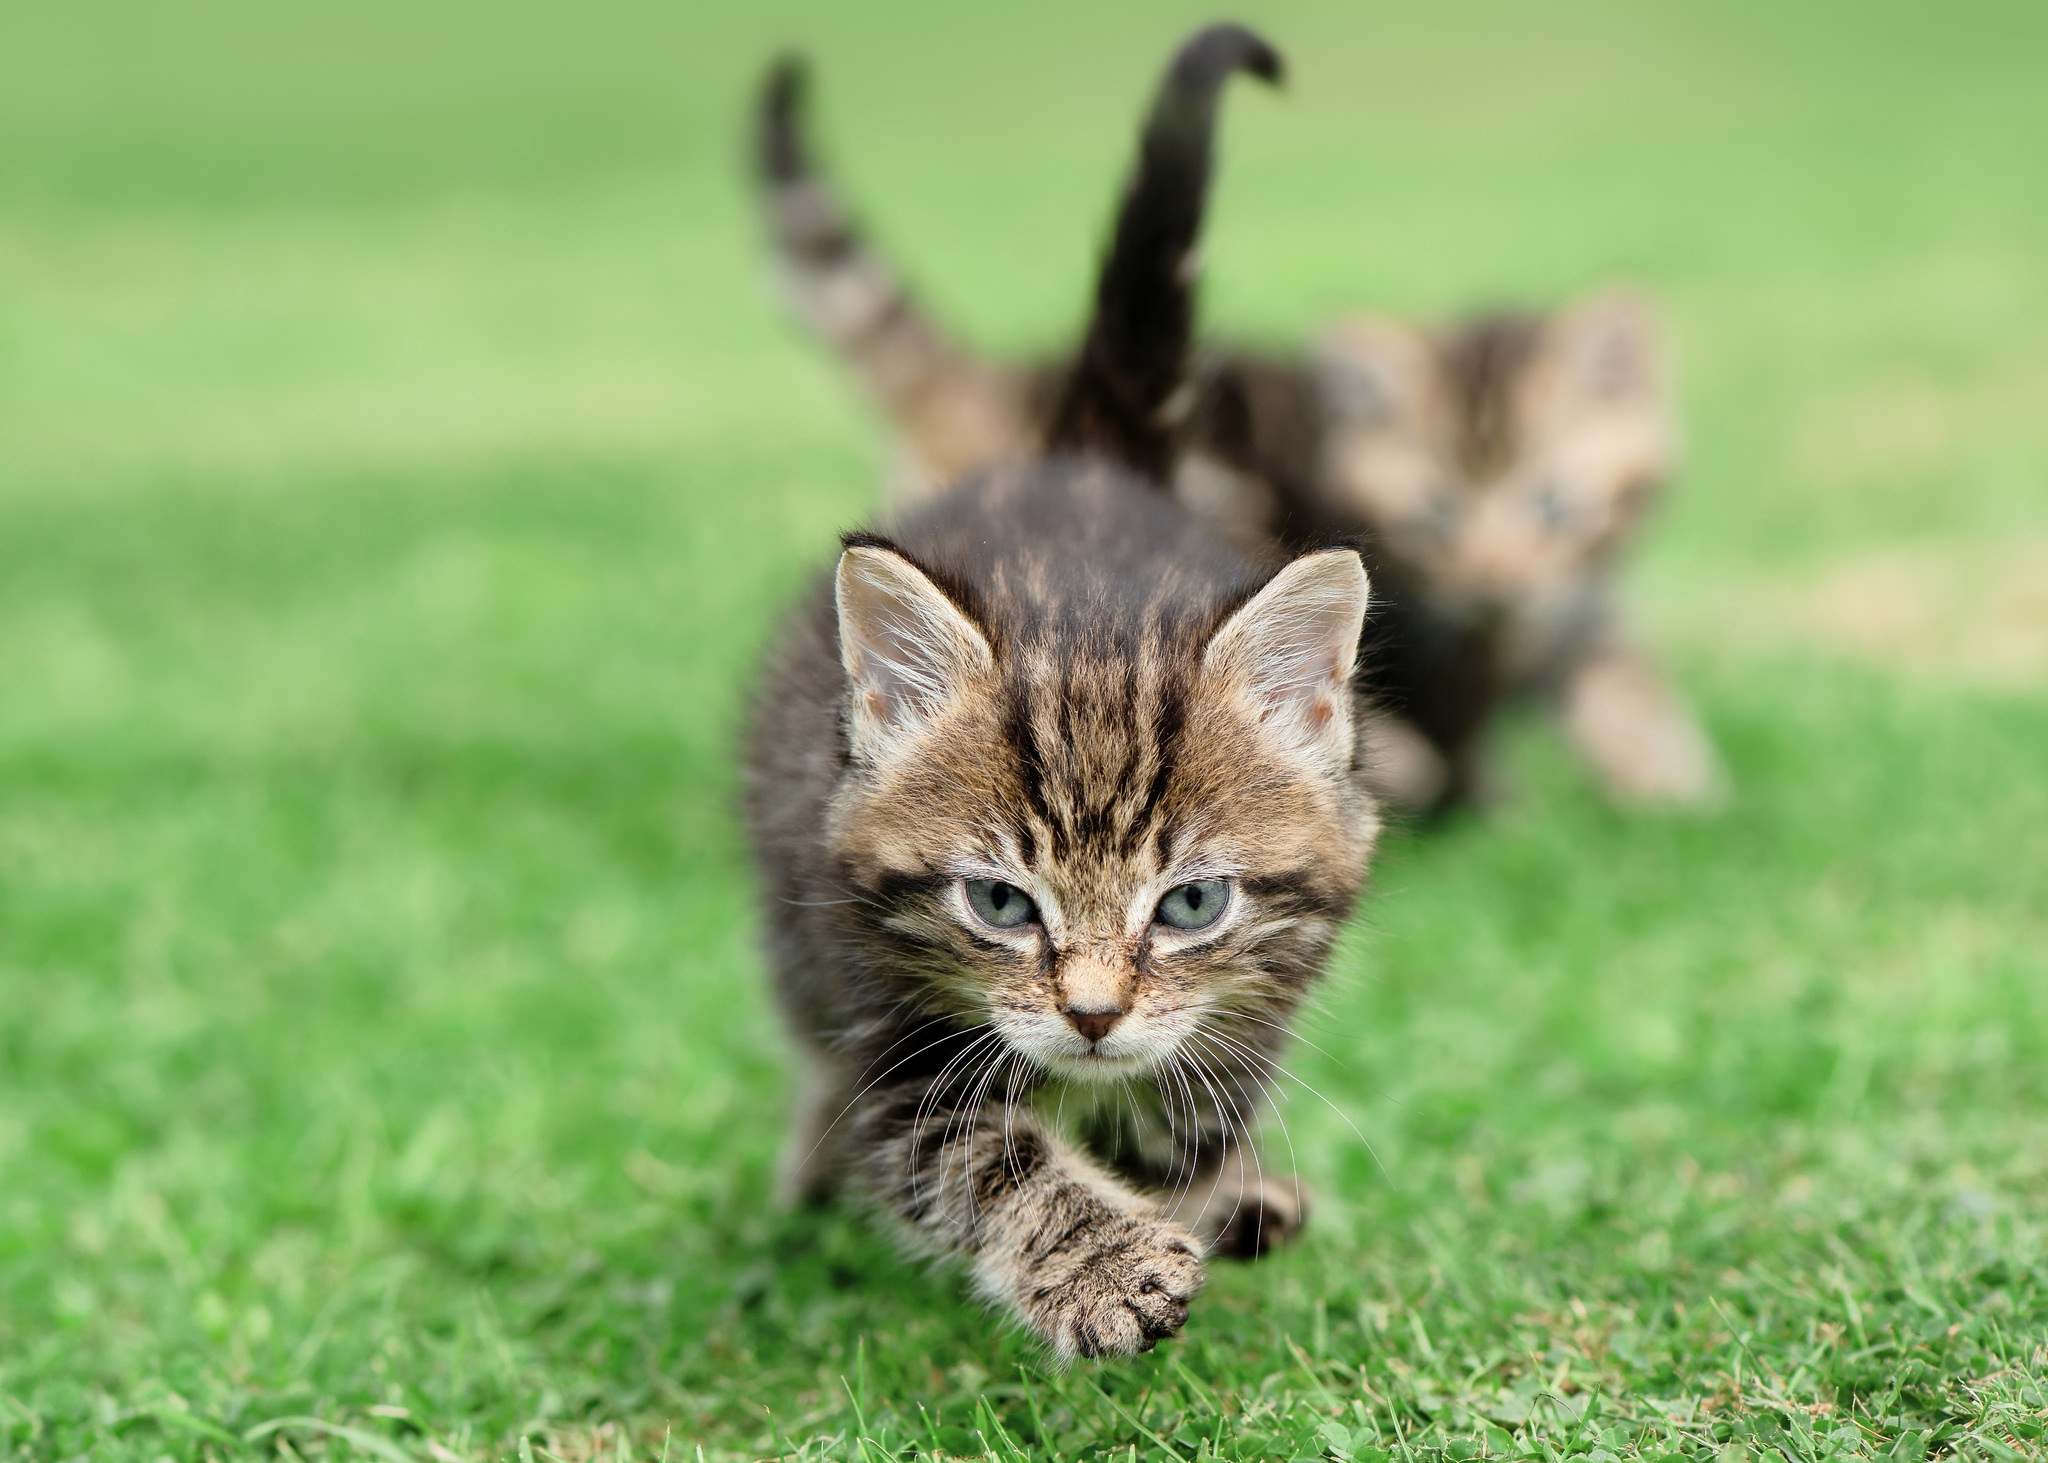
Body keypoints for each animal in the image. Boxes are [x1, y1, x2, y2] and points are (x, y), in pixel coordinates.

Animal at [745, 28, 1384, 1360]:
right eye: (998, 900)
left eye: (1189, 903)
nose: (1090, 1014)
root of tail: (1074, 463)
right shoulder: (886, 1028)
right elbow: (977, 1155)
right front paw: (1105, 1263)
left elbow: (1189, 1103)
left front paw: (1192, 1165)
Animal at [761, 68, 1720, 815]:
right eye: (1435, 517)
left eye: (1555, 505)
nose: (1498, 582)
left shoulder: (1571, 601)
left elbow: (1606, 667)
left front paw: (1666, 774)